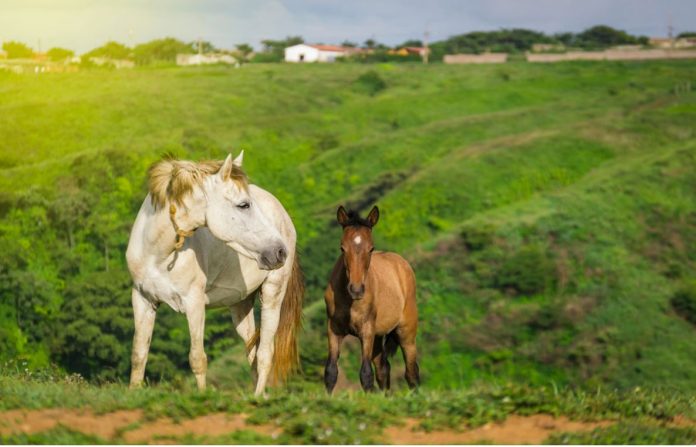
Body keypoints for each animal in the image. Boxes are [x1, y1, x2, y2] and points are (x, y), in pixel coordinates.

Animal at [125, 152, 303, 396]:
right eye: (244, 205)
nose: (279, 251)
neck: (157, 253)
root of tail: (283, 214)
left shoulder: (194, 303)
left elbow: (197, 358)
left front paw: (201, 397)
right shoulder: (143, 299)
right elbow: (138, 355)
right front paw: (133, 394)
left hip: (273, 294)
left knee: (265, 353)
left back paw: (258, 398)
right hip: (240, 305)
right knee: (253, 353)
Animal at [323, 205, 420, 393]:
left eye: (371, 248)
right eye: (342, 248)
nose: (356, 289)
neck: (350, 301)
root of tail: (403, 264)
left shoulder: (366, 330)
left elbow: (366, 374)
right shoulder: (334, 329)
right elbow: (331, 372)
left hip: (406, 333)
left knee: (411, 372)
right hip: (378, 336)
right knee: (383, 369)